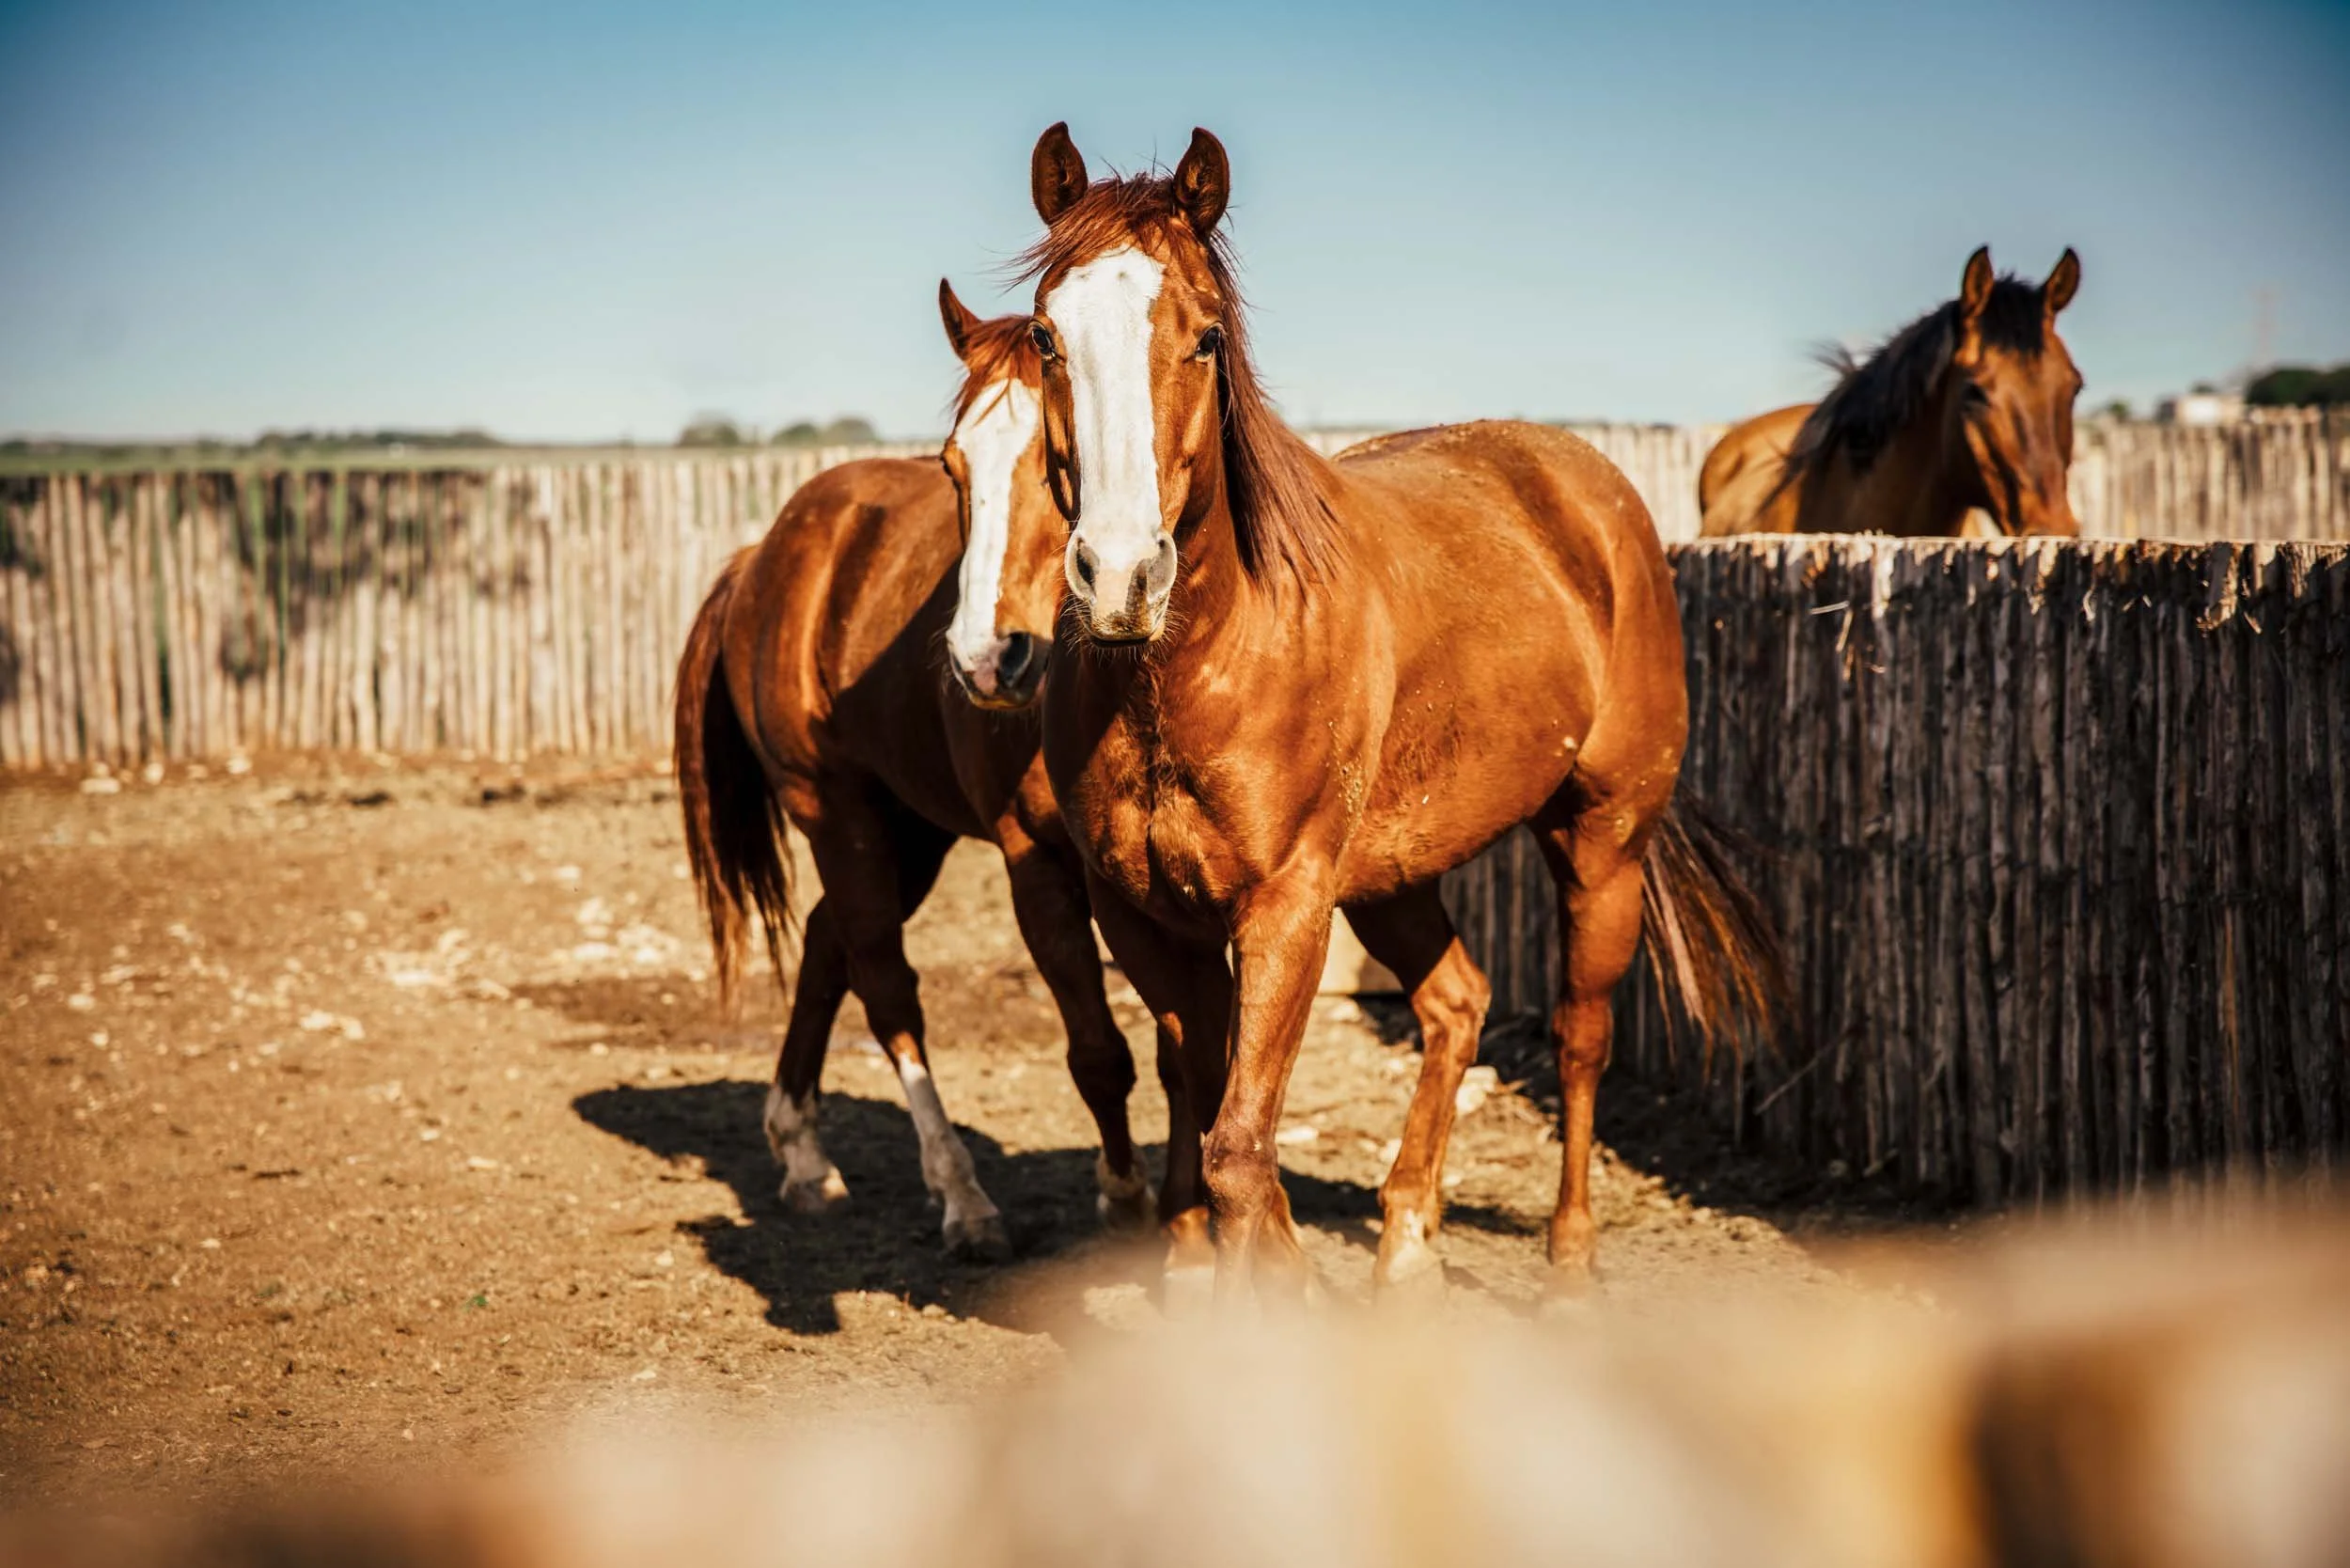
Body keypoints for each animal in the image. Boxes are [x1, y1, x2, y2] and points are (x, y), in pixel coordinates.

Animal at [673, 283, 1158, 1258]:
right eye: (952, 468)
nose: (987, 660)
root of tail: (763, 560)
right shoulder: (1034, 863)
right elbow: (1098, 1050)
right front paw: (1125, 1198)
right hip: (835, 811)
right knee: (885, 982)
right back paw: (962, 1197)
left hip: (910, 829)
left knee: (829, 941)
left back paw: (803, 1154)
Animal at [993, 123, 1783, 1300]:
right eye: (1047, 335)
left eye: (1204, 338)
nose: (1120, 578)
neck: (1189, 668)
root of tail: (1590, 495)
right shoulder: (1141, 913)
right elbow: (1202, 1095)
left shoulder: (1284, 908)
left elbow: (1239, 1148)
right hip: (1393, 873)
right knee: (1455, 1001)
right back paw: (1407, 1236)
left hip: (1601, 840)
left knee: (1579, 1034)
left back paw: (1569, 1259)